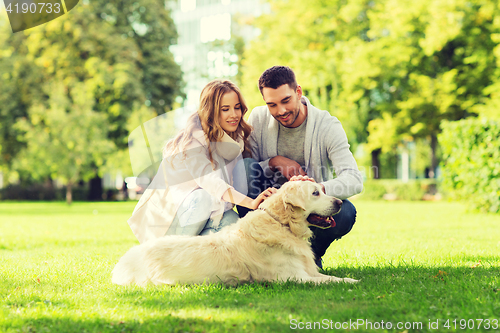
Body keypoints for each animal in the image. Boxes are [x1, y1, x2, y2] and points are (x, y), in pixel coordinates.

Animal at [111, 180, 358, 284]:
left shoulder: (307, 271)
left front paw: (350, 278)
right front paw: (352, 283)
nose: (339, 202)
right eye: (315, 193)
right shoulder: (293, 277)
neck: (281, 224)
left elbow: (330, 277)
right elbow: (329, 281)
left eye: (322, 190)